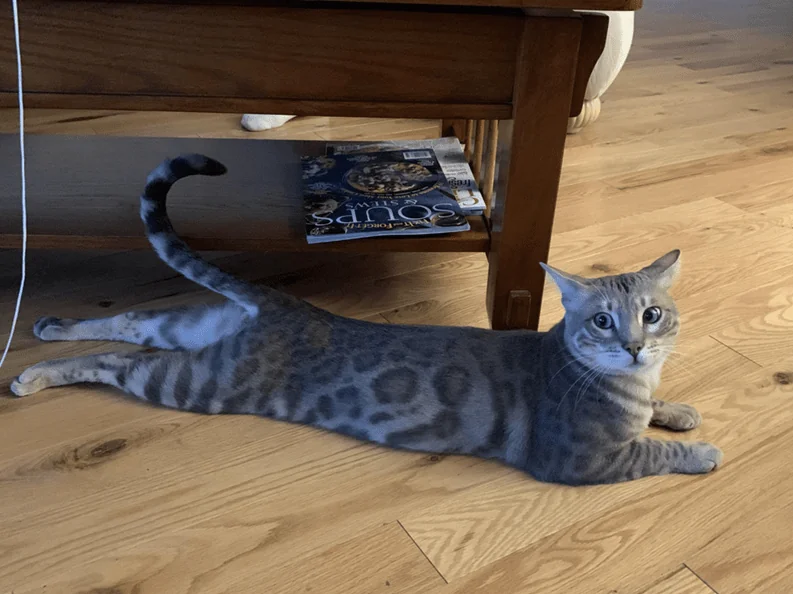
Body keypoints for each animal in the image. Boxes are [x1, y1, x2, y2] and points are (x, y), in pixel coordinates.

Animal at [7, 155, 724, 484]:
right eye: (601, 322)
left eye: (652, 315)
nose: (633, 346)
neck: (625, 385)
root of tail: (278, 304)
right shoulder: (579, 459)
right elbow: (651, 451)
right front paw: (701, 448)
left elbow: (659, 412)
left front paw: (679, 408)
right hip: (198, 383)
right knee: (115, 361)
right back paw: (34, 375)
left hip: (193, 327)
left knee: (128, 323)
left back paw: (49, 330)